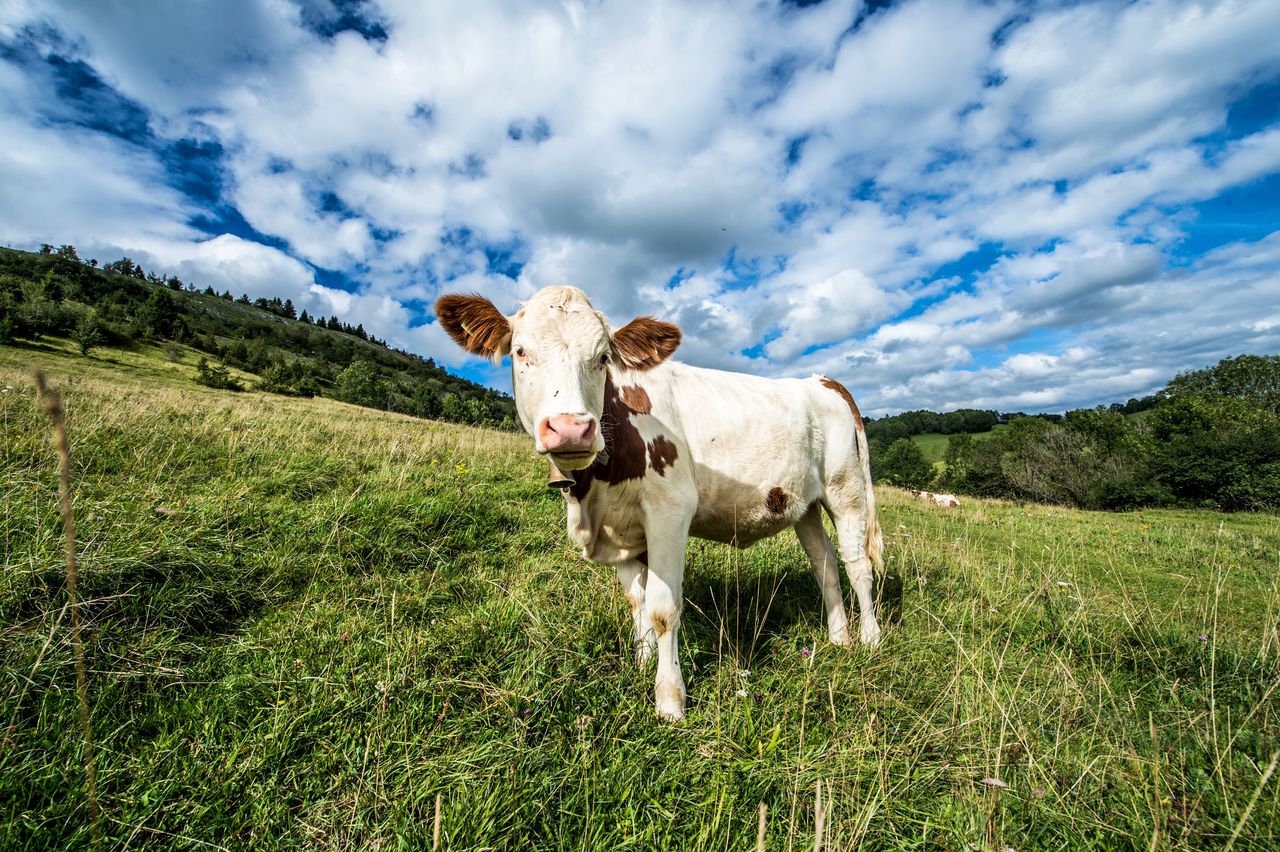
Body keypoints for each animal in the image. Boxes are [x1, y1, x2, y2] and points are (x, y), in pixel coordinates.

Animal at [435, 286, 883, 721]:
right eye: (520, 351)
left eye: (603, 358)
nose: (571, 429)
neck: (592, 495)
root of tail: (821, 381)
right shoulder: (619, 531)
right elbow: (639, 599)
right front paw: (641, 661)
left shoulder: (669, 512)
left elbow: (663, 608)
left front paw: (670, 700)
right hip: (803, 504)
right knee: (825, 563)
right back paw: (839, 637)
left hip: (846, 489)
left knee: (857, 564)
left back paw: (869, 638)